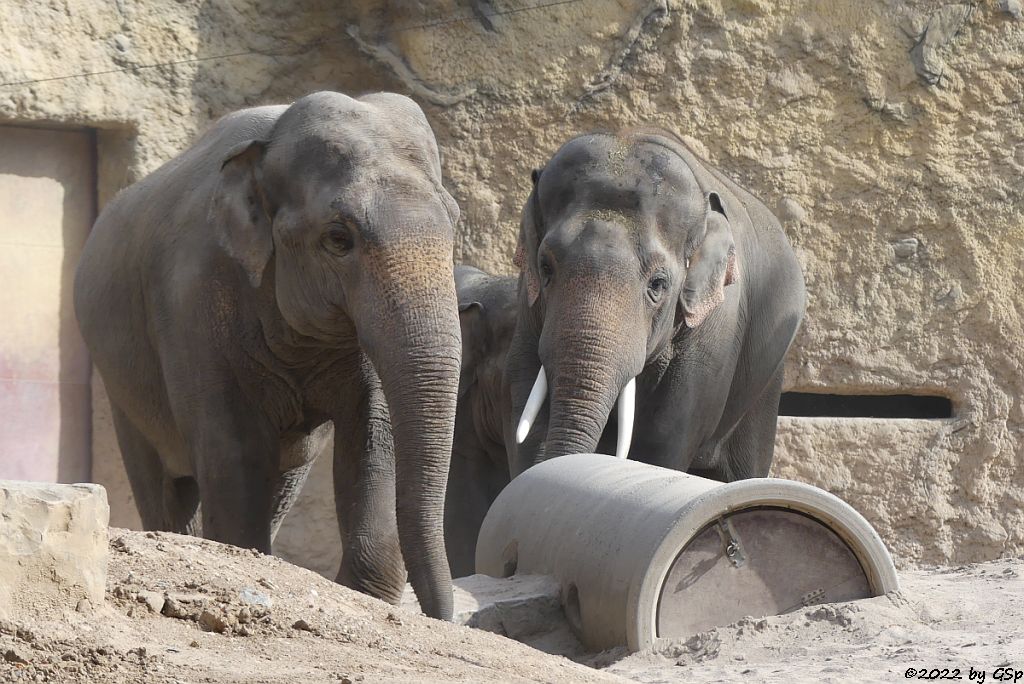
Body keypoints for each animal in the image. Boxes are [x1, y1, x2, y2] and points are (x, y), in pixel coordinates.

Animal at [76, 90, 464, 618]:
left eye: (456, 224)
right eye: (338, 238)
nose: (441, 615)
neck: (269, 146)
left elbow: (374, 433)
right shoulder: (192, 302)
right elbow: (234, 445)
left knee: (282, 477)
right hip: (120, 384)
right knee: (163, 482)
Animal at [507, 127, 802, 481]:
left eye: (658, 284)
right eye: (546, 268)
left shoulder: (713, 338)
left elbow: (662, 444)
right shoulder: (528, 306)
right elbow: (527, 414)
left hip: (766, 382)